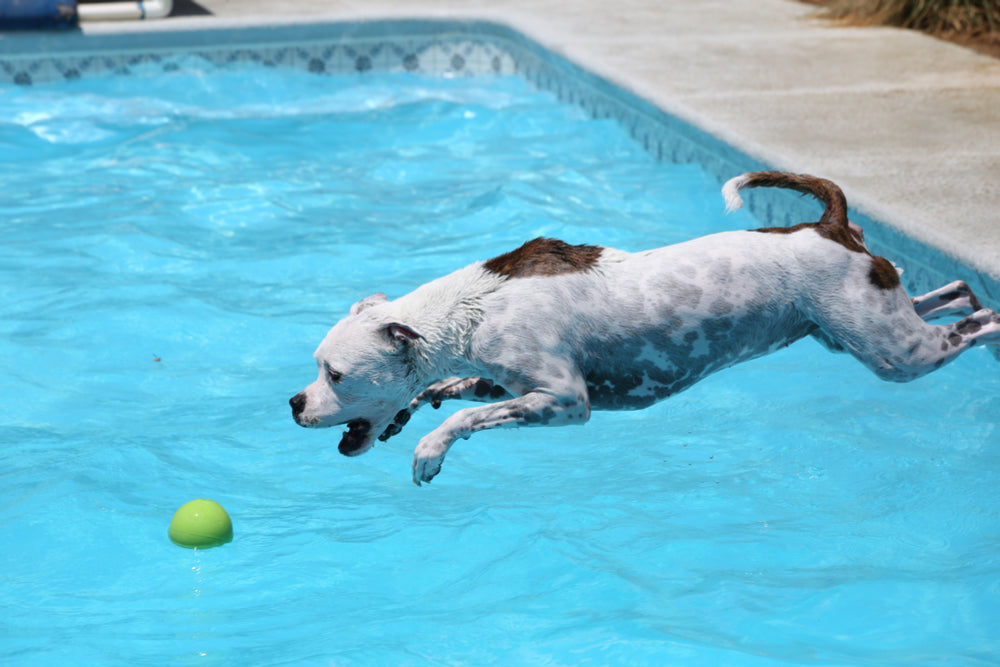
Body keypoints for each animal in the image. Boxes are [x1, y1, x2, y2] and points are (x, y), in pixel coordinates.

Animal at [292, 172, 1000, 486]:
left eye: (335, 374)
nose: (294, 403)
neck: (473, 308)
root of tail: (827, 223)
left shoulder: (564, 401)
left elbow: (463, 417)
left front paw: (429, 450)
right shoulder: (513, 386)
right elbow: (463, 393)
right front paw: (425, 400)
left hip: (894, 353)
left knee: (980, 321)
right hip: (864, 325)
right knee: (949, 295)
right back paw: (962, 292)